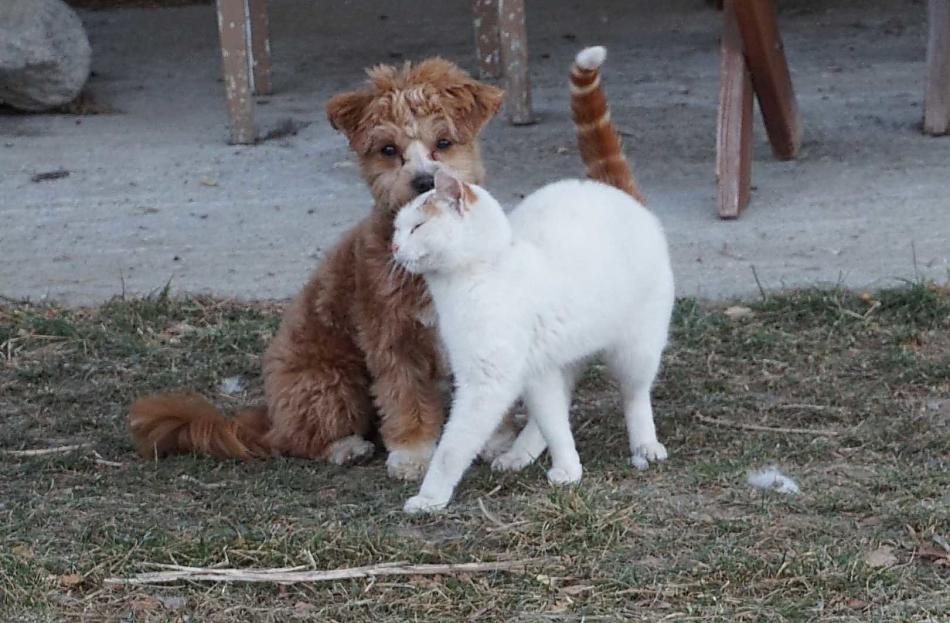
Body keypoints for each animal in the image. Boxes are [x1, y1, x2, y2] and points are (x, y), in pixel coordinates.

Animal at [129, 57, 505, 480]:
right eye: (388, 149)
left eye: (444, 143)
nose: (425, 181)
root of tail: (269, 418)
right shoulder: (394, 342)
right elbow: (405, 403)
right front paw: (413, 457)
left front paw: (496, 443)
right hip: (329, 383)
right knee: (301, 439)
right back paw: (345, 447)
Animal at [391, 47, 674, 513]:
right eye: (397, 228)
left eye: (415, 227)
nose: (394, 247)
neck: (480, 275)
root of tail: (614, 191)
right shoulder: (532, 371)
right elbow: (553, 421)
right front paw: (568, 468)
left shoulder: (486, 384)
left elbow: (451, 449)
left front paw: (429, 498)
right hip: (561, 356)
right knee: (558, 405)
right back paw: (519, 455)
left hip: (636, 348)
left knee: (635, 395)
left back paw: (644, 446)